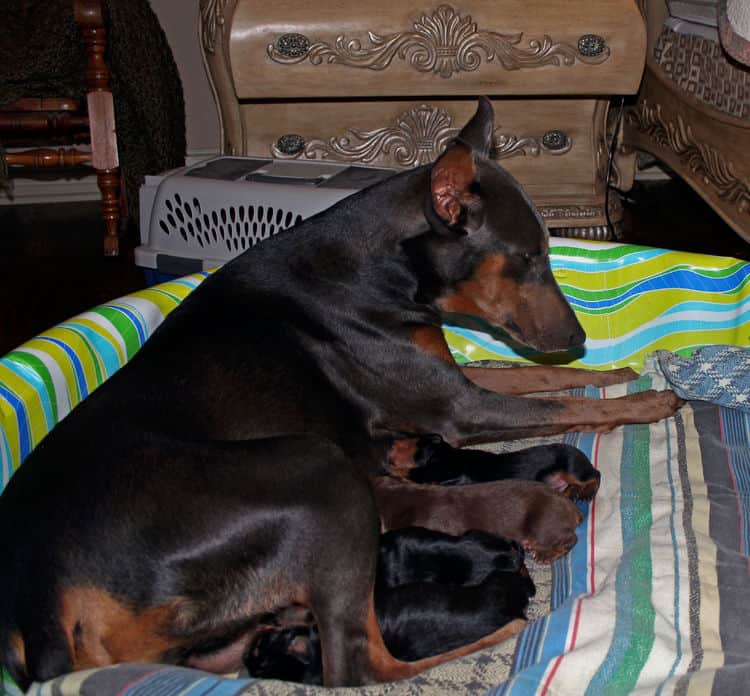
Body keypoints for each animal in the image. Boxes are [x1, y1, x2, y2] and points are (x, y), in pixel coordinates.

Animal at [0, 98, 684, 692]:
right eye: (527, 258)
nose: (577, 338)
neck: (376, 270)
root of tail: (39, 601)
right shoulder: (458, 411)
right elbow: (555, 403)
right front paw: (648, 403)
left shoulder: (447, 382)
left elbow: (540, 380)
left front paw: (613, 373)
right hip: (318, 471)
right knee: (356, 665)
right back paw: (496, 634)